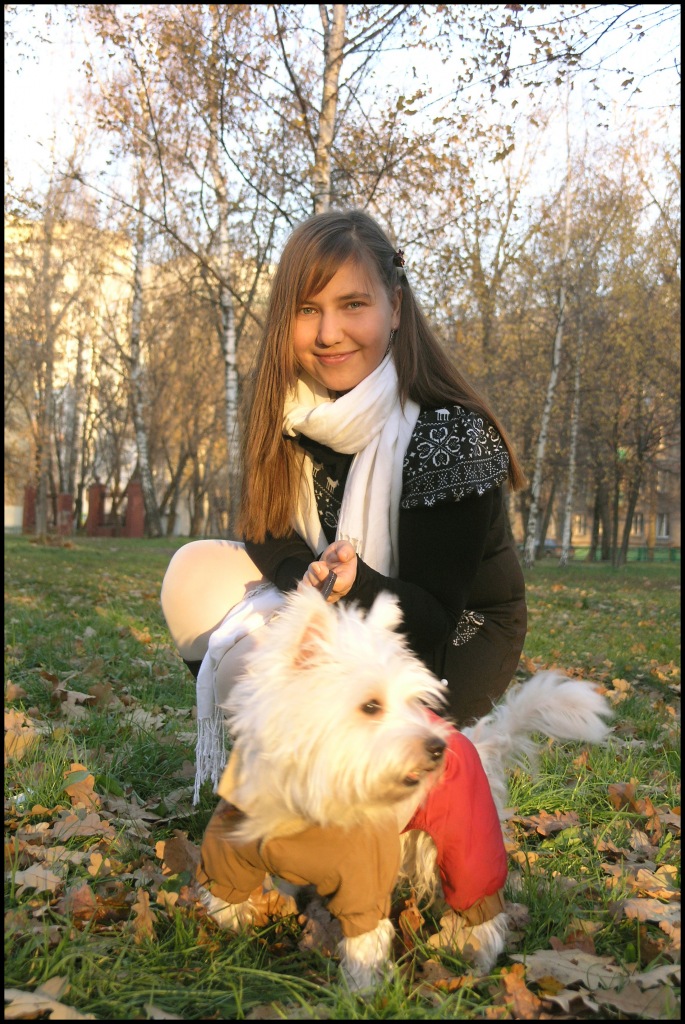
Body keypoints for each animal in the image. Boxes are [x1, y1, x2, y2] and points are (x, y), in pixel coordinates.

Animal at [196, 586, 612, 990]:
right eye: (371, 706)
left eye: (415, 701)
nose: (437, 747)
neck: (309, 800)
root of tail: (471, 740)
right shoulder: (229, 848)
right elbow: (225, 895)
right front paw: (233, 928)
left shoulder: (363, 877)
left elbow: (365, 939)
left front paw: (361, 991)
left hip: (465, 845)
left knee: (480, 906)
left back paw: (472, 956)